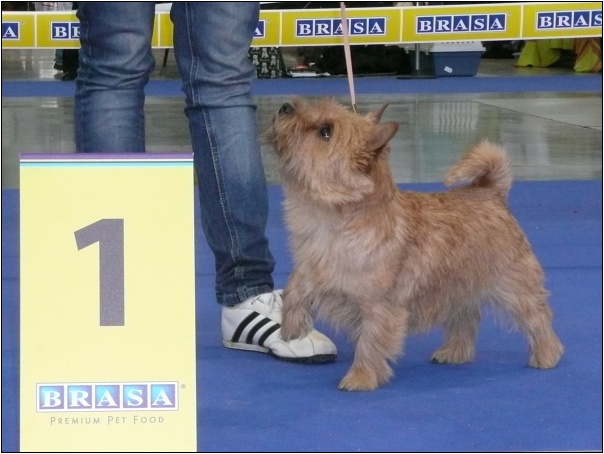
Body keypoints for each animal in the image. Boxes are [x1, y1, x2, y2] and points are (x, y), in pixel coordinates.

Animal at [266, 98, 564, 390]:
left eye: (325, 131)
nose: (285, 107)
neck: (328, 220)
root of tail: (489, 192)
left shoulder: (379, 307)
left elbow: (370, 343)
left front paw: (361, 378)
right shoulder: (310, 265)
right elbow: (294, 287)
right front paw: (291, 326)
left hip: (513, 285)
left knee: (536, 316)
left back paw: (547, 355)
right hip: (457, 287)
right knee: (468, 317)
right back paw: (454, 352)